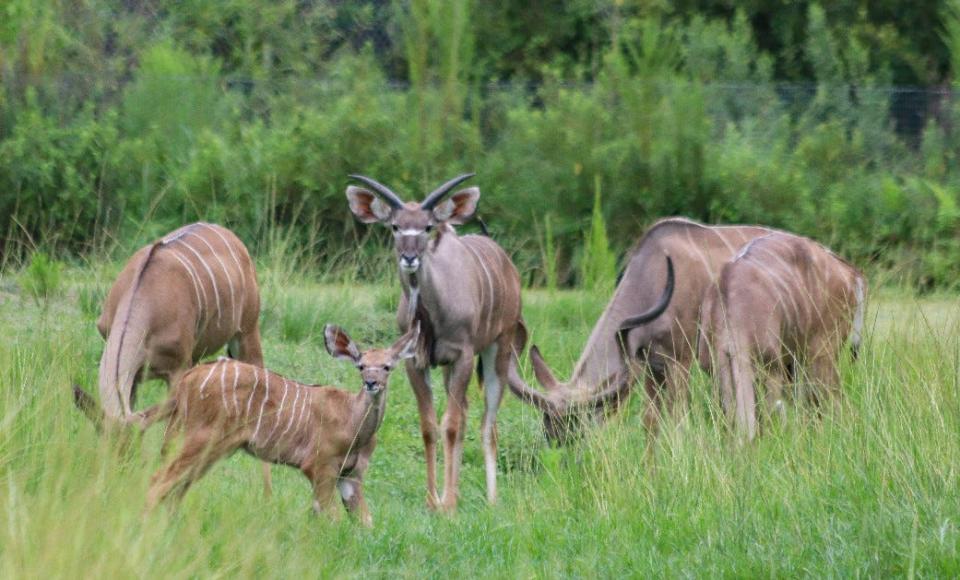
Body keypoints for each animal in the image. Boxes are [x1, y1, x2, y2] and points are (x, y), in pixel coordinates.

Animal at [145, 324, 416, 528]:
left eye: (387, 367)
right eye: (361, 366)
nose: (371, 383)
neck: (353, 421)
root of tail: (188, 380)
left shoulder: (351, 475)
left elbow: (365, 522)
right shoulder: (320, 467)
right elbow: (331, 518)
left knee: (177, 486)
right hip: (203, 439)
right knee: (160, 480)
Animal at [344, 173, 524, 512]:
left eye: (427, 227)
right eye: (395, 226)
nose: (409, 258)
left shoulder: (463, 356)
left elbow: (450, 425)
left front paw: (448, 505)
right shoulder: (416, 363)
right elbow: (429, 426)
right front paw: (433, 501)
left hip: (499, 347)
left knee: (487, 423)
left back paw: (491, 500)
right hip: (449, 371)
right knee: (466, 414)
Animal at [510, 220, 772, 446]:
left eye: (577, 428)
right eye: (548, 429)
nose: (564, 458)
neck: (651, 279)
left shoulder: (681, 360)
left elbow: (678, 420)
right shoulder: (650, 365)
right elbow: (649, 422)